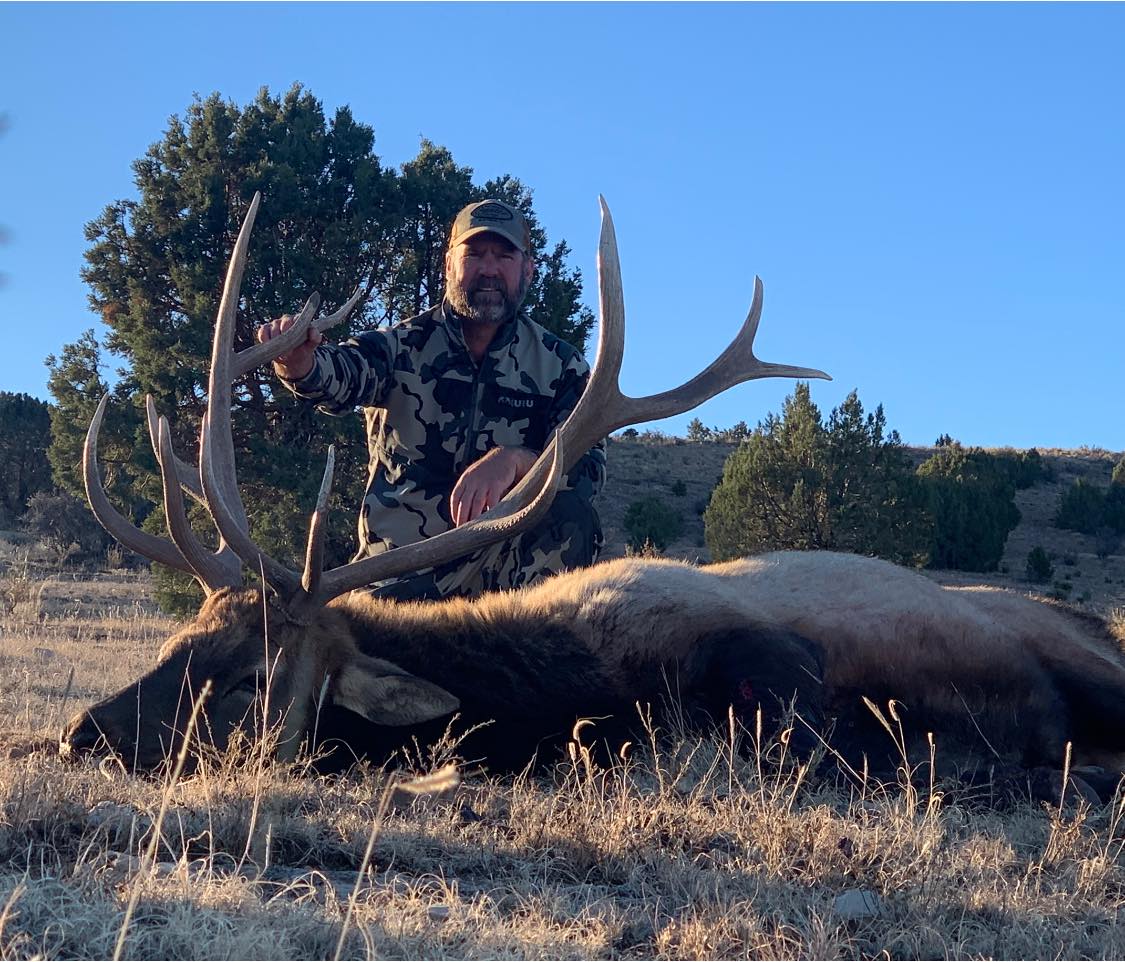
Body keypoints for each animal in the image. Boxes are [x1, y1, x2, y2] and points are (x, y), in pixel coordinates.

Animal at [61, 195, 1125, 799]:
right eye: (178, 641)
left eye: (251, 676)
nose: (82, 735)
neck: (561, 676)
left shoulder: (765, 649)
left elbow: (798, 729)